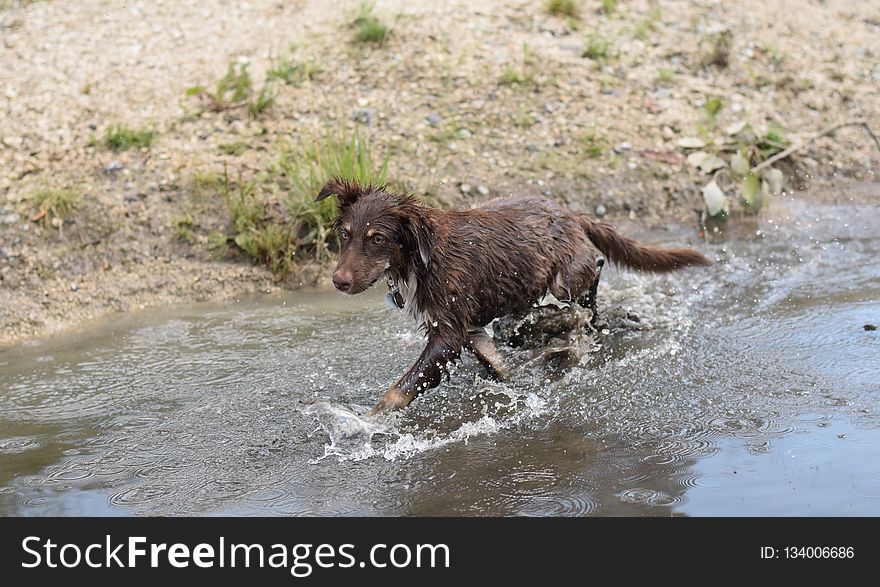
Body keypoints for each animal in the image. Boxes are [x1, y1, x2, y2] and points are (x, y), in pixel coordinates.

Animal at [316, 179, 708, 414]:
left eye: (378, 238)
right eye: (345, 234)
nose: (338, 282)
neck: (420, 256)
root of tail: (570, 212)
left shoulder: (447, 334)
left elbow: (399, 389)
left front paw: (369, 421)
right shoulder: (467, 328)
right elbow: (497, 364)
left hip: (565, 278)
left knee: (593, 279)